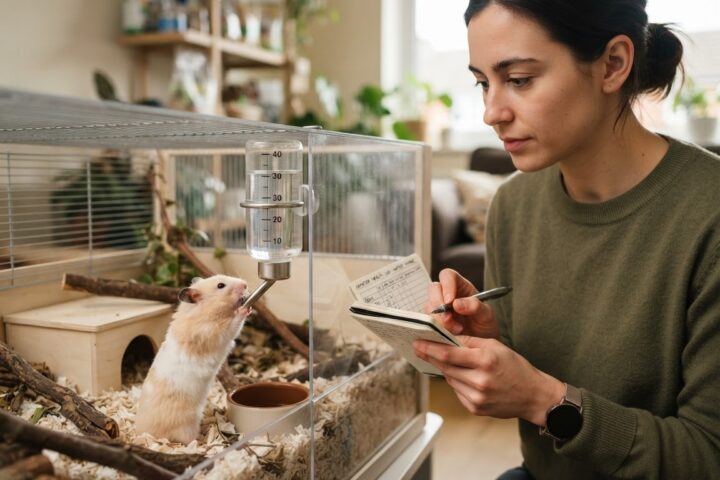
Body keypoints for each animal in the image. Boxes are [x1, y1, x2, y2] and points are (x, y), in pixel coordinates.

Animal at [135, 274, 251, 444]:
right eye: (221, 285)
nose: (245, 284)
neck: (203, 309)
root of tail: (144, 433)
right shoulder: (213, 333)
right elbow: (234, 325)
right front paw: (244, 309)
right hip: (186, 424)